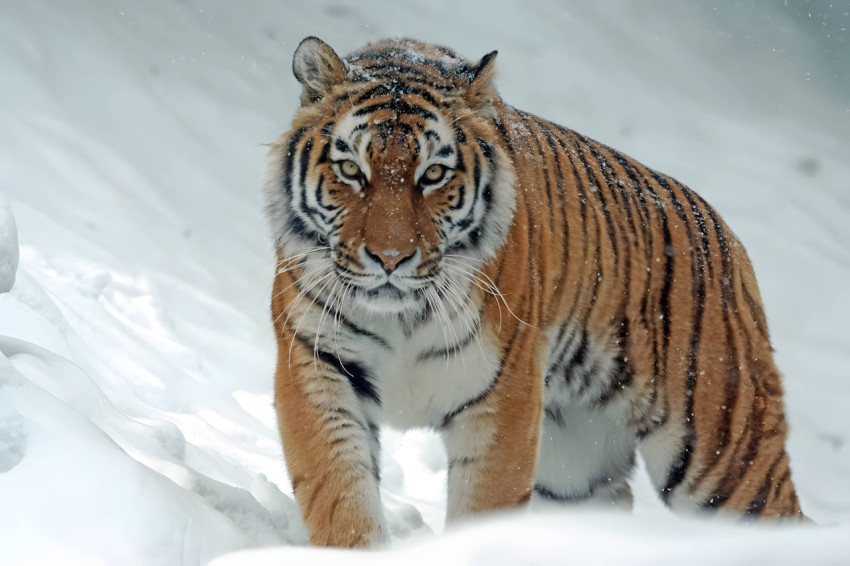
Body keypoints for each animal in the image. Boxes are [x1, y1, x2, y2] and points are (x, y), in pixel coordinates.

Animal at [263, 36, 805, 548]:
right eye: (351, 170)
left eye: (433, 174)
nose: (391, 258)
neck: (401, 315)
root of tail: (729, 238)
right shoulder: (316, 365)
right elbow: (340, 496)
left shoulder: (505, 394)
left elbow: (484, 507)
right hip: (576, 470)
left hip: (724, 454)